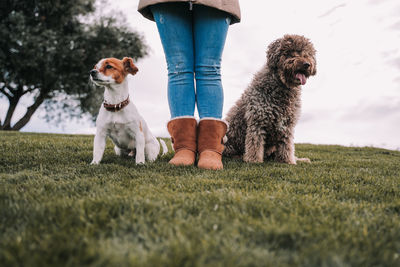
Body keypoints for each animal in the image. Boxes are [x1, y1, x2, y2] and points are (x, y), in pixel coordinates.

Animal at [225, 34, 316, 164]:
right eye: (290, 53)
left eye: (307, 54)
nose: (307, 64)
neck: (282, 87)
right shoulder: (257, 122)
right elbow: (255, 144)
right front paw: (254, 160)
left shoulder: (287, 125)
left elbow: (286, 146)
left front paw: (288, 161)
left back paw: (301, 159)